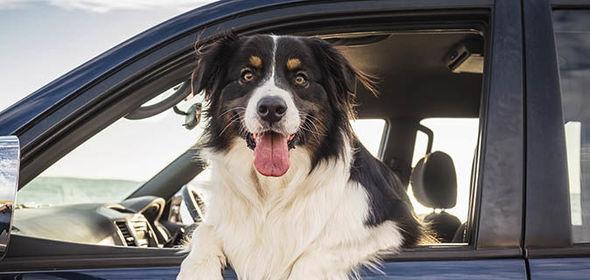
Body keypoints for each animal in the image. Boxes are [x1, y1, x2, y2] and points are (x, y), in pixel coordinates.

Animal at [177, 33, 426, 280]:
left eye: (300, 79)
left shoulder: (395, 227)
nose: (271, 108)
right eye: (247, 75)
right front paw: (197, 271)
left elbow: (316, 254)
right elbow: (204, 230)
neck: (271, 190)